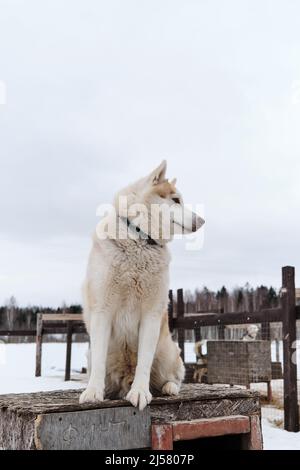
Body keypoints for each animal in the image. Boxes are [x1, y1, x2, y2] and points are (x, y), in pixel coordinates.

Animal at [78, 160, 205, 410]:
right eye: (176, 200)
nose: (201, 221)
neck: (140, 240)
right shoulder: (102, 312)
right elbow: (98, 361)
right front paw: (93, 393)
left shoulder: (151, 315)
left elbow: (144, 363)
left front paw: (139, 392)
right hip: (91, 354)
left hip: (168, 352)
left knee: (174, 376)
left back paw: (169, 388)